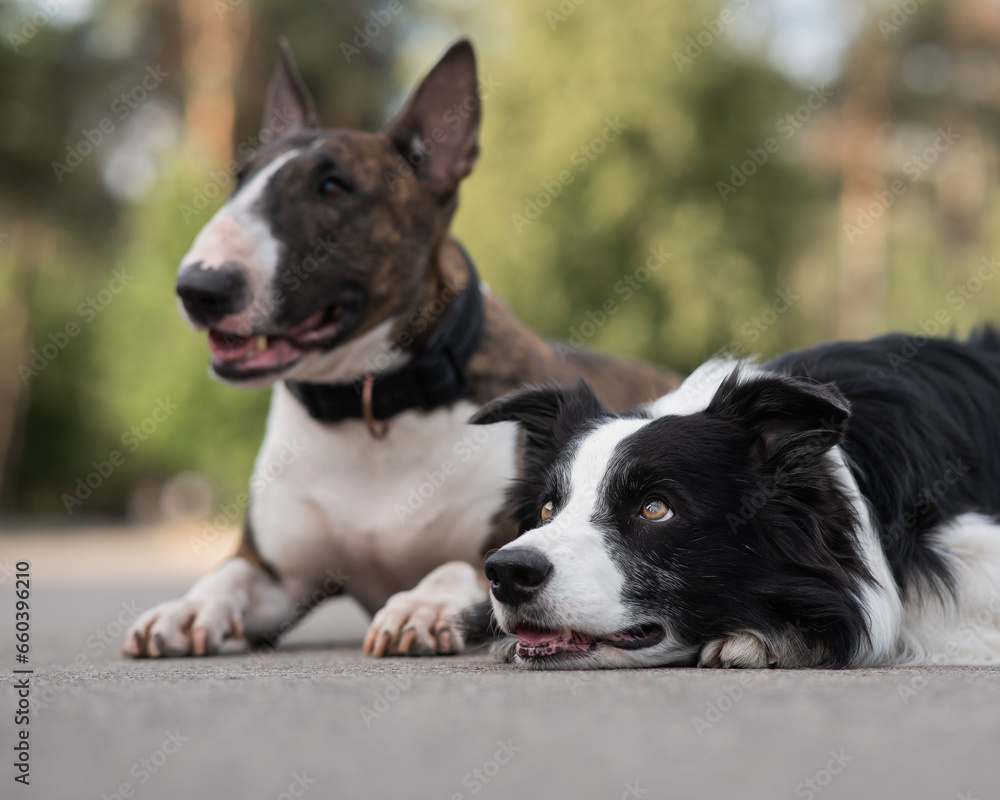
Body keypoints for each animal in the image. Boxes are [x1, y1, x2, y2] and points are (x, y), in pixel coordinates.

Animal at [123, 39, 680, 656]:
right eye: (240, 179)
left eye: (334, 187)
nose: (199, 287)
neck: (372, 405)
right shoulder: (277, 576)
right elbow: (229, 576)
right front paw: (187, 608)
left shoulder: (517, 538)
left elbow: (463, 567)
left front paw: (419, 605)